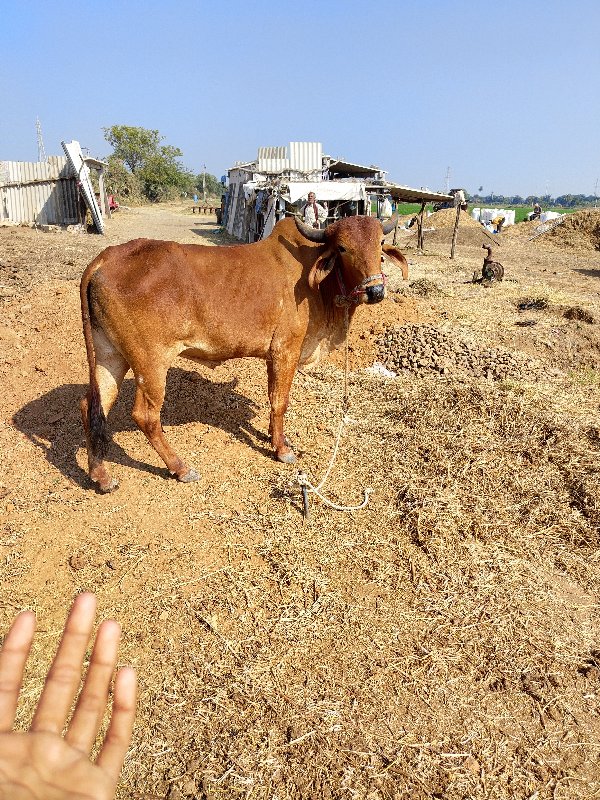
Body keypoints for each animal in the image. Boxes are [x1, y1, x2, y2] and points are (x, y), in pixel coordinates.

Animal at [79, 212, 408, 490]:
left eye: (380, 244)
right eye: (342, 248)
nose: (375, 290)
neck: (317, 286)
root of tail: (106, 257)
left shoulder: (273, 356)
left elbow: (273, 400)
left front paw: (277, 438)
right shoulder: (286, 350)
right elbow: (280, 402)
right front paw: (282, 450)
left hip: (111, 355)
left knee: (92, 406)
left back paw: (101, 475)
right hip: (151, 362)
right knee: (145, 416)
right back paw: (181, 468)